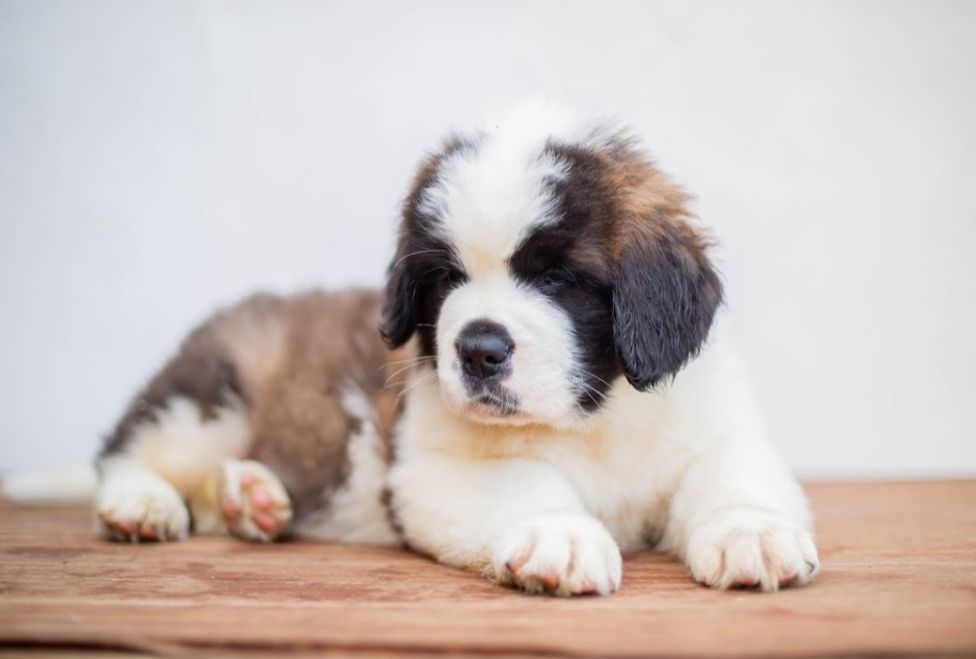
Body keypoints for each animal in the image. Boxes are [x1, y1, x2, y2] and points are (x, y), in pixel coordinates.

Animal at [95, 109, 820, 600]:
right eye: (446, 278)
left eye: (557, 277)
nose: (477, 350)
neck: (593, 415)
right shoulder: (430, 466)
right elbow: (522, 482)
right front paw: (559, 533)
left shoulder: (712, 425)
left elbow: (732, 475)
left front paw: (752, 532)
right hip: (212, 394)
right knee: (128, 451)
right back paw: (145, 505)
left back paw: (248, 499)